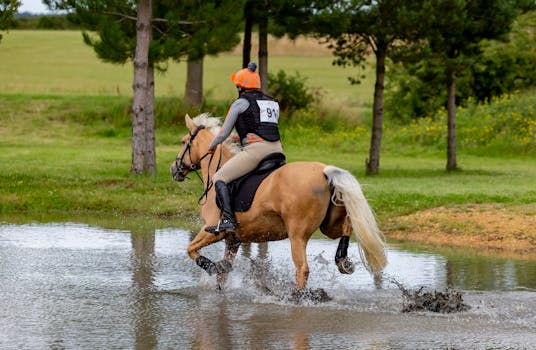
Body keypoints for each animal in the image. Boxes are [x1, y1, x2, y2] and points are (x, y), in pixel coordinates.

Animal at [171, 114, 386, 292]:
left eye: (183, 142)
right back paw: (343, 261)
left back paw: (298, 296)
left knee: (302, 268)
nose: (174, 169)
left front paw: (213, 266)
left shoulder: (213, 230)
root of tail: (324, 171)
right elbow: (222, 276)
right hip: (328, 225)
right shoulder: (233, 240)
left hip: (297, 234)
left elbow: (191, 249)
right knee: (347, 226)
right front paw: (221, 275)